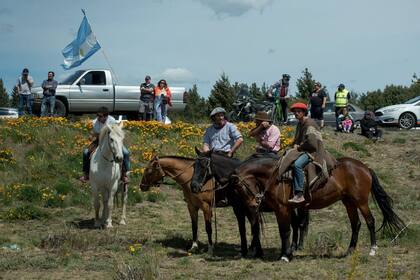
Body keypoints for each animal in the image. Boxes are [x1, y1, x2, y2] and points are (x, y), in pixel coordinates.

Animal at [231, 156, 406, 262]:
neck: (276, 176)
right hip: (348, 202)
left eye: (240, 187)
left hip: (361, 201)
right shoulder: (284, 210)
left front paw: (285, 255)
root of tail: (365, 168)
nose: (253, 204)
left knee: (370, 221)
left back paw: (372, 249)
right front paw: (286, 253)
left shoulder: (282, 209)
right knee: (356, 224)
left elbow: (285, 231)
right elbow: (288, 230)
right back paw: (350, 251)